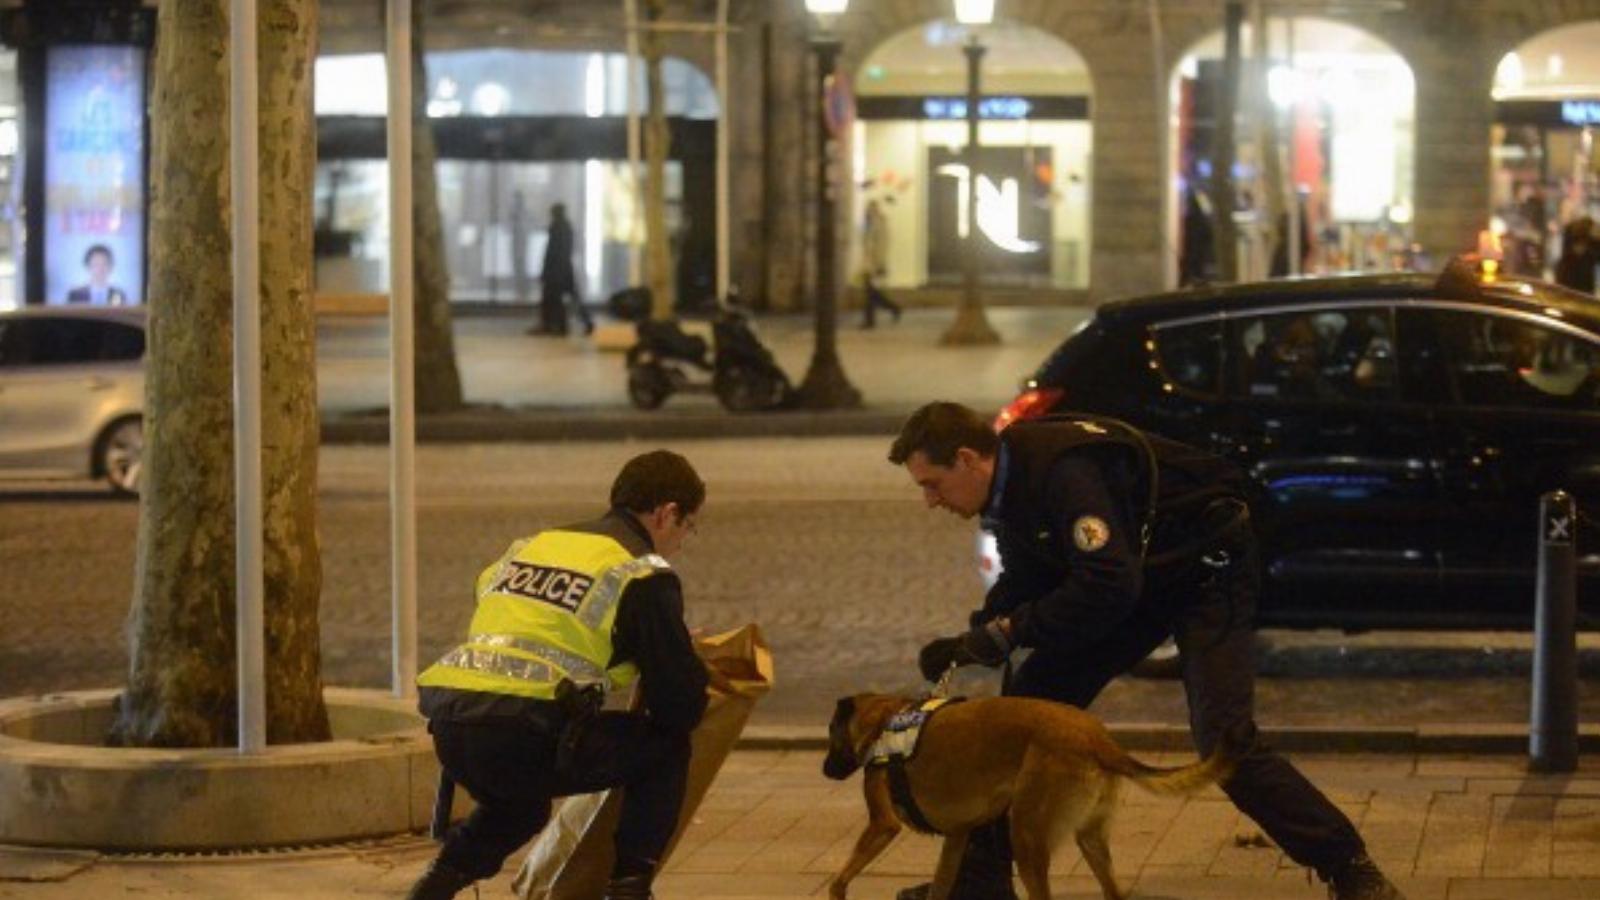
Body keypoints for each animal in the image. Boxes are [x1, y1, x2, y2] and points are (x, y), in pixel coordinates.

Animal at [825, 695, 1235, 896]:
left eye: (830, 736)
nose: (825, 770)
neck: (883, 716)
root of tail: (1098, 740)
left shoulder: (882, 826)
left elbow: (839, 880)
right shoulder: (956, 838)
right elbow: (941, 887)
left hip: (1025, 838)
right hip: (1091, 841)